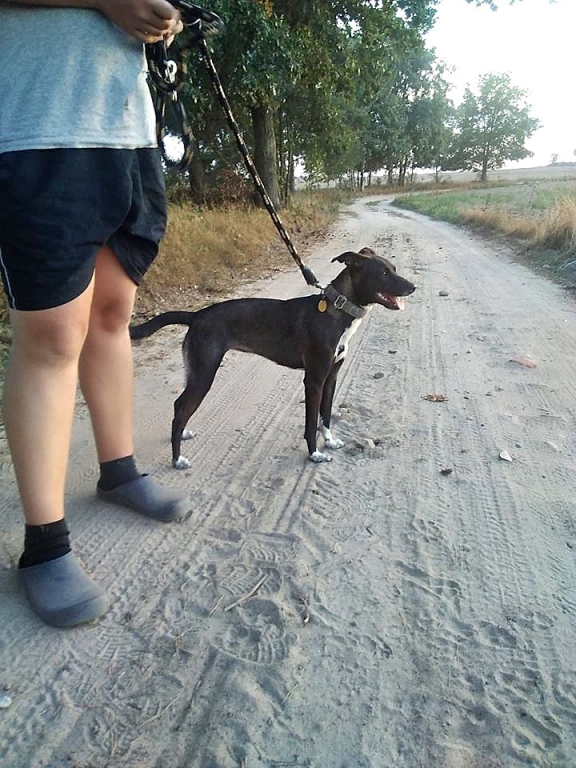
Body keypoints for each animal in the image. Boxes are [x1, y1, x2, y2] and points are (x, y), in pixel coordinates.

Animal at [130, 247, 416, 468]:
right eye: (383, 273)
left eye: (393, 268)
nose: (413, 287)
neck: (336, 311)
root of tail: (196, 315)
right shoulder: (313, 380)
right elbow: (311, 422)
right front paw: (314, 454)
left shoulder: (331, 378)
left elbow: (325, 414)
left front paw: (330, 441)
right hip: (204, 372)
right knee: (181, 409)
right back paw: (177, 459)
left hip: (197, 371)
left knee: (179, 406)